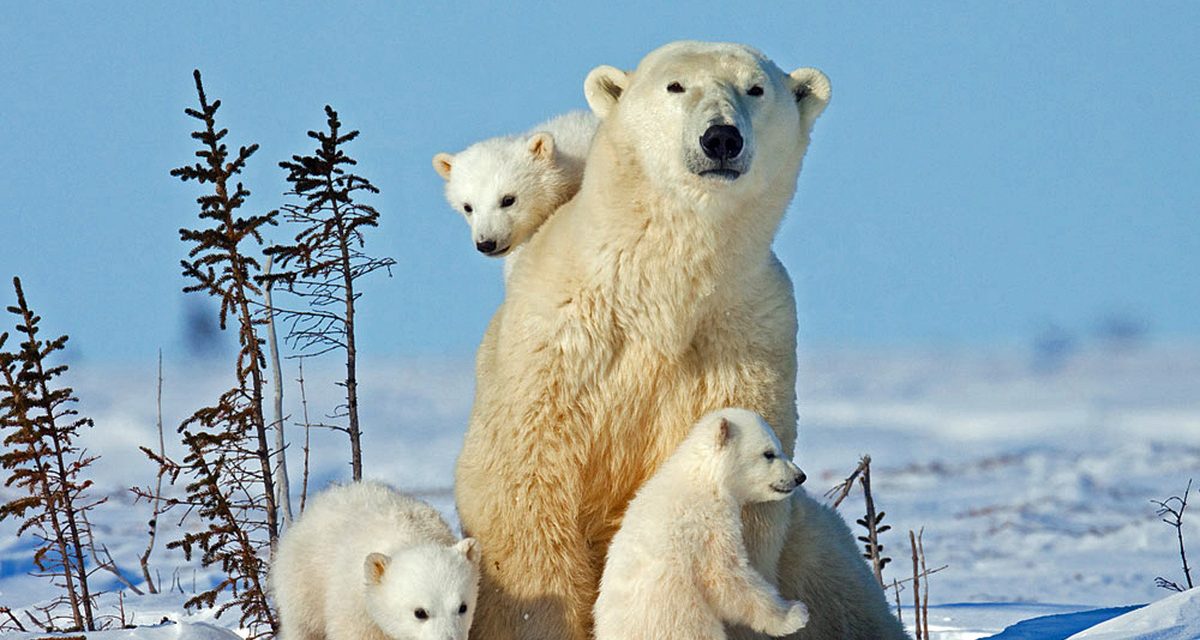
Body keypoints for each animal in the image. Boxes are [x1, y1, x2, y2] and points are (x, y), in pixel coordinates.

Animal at [593, 408, 809, 640]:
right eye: (769, 453)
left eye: (779, 447)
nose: (800, 476)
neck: (703, 480)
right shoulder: (707, 525)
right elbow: (725, 576)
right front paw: (794, 614)